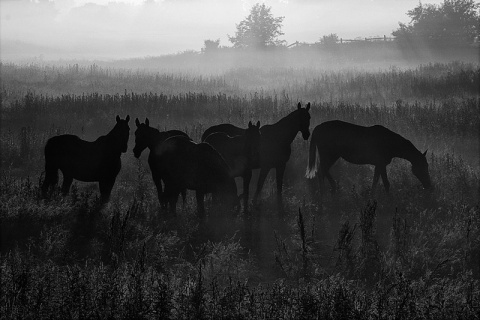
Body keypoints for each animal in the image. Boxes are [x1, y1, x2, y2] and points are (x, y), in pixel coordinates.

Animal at [306, 120, 434, 194]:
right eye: (422, 167)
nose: (429, 185)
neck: (389, 142)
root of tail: (318, 127)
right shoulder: (381, 164)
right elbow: (386, 183)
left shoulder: (378, 165)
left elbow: (375, 182)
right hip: (329, 155)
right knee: (321, 172)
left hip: (332, 156)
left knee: (323, 171)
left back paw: (333, 188)